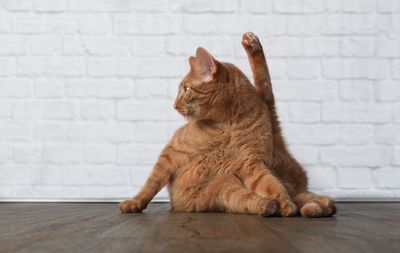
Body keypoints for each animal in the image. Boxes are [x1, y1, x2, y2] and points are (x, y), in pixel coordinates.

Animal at [120, 32, 336, 217]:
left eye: (186, 89)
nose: (173, 105)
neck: (228, 124)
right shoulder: (172, 152)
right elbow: (151, 183)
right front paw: (134, 203)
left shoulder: (251, 164)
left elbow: (270, 185)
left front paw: (284, 203)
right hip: (223, 187)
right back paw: (273, 206)